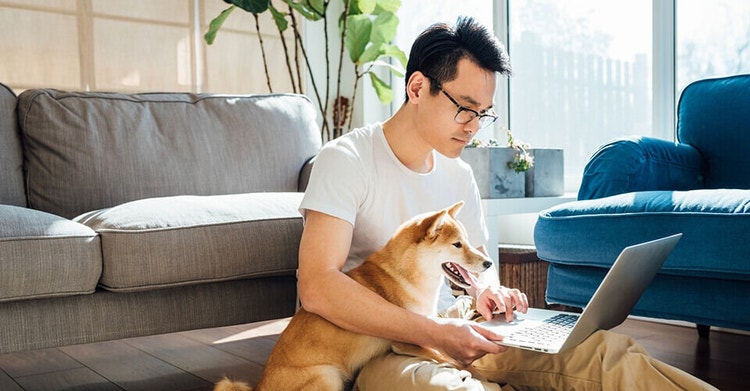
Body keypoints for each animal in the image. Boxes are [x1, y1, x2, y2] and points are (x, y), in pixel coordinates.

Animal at [214, 202, 496, 391]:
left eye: (468, 241)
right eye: (457, 244)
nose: (489, 262)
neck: (406, 274)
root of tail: (261, 386)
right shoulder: (408, 341)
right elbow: (453, 359)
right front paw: (480, 371)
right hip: (326, 375)